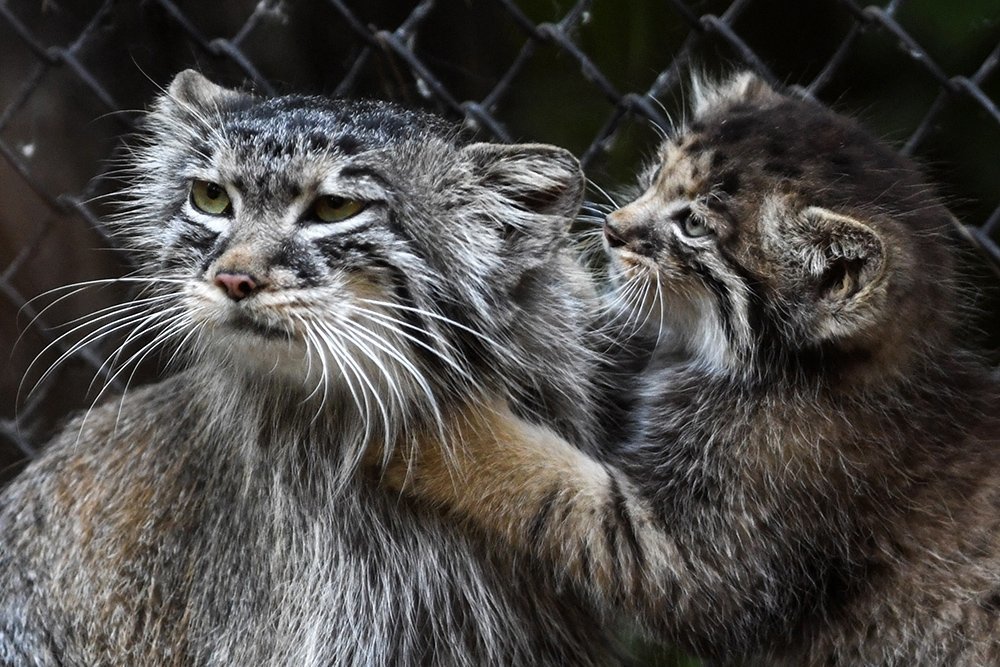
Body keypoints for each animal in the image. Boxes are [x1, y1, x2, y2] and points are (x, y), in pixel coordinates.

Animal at [382, 73, 1000, 667]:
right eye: (657, 173)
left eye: (694, 226)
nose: (612, 229)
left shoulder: (711, 554)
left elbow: (543, 482)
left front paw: (438, 431)